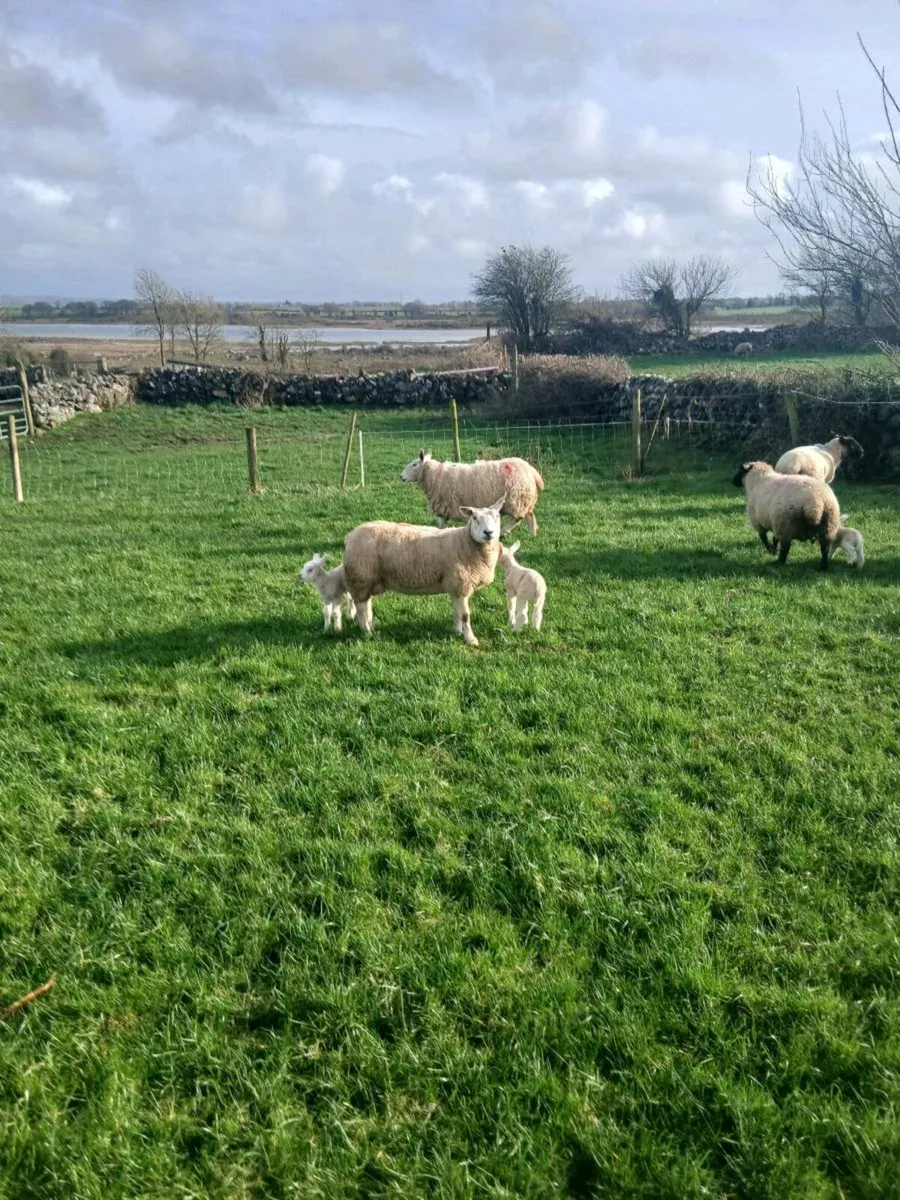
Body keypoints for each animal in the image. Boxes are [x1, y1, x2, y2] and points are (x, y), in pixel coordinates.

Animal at [342, 498, 505, 646]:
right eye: (475, 518)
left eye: (497, 516)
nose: (488, 532)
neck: (465, 542)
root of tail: (350, 535)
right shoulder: (461, 584)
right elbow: (465, 615)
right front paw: (470, 639)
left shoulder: (455, 585)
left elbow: (457, 612)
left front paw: (457, 631)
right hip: (360, 577)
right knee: (361, 608)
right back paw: (367, 632)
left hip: (367, 579)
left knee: (366, 605)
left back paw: (371, 626)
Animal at [400, 450, 544, 535]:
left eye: (414, 464)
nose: (401, 476)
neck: (435, 476)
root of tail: (530, 469)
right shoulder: (444, 506)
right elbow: (440, 523)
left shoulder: (452, 504)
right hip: (524, 499)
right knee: (530, 515)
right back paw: (532, 533)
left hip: (517, 499)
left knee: (518, 518)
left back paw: (504, 531)